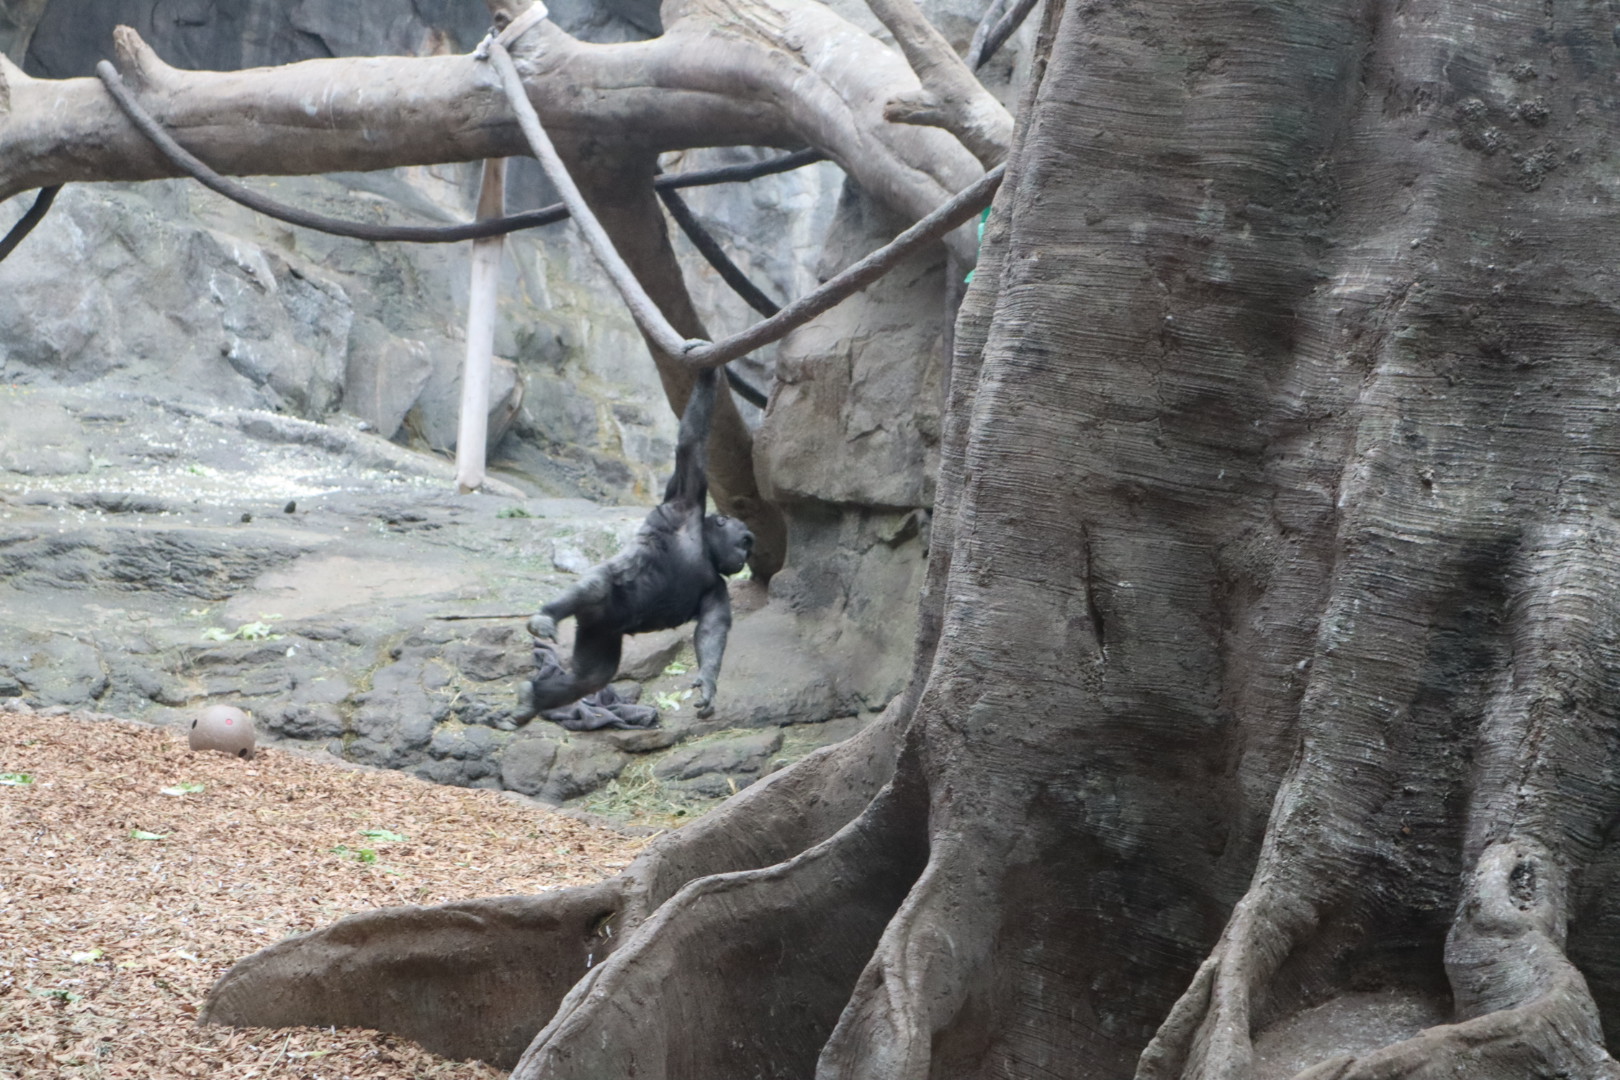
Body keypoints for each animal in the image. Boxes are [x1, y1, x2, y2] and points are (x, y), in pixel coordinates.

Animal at [512, 368, 754, 724]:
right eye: (746, 541)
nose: (747, 555)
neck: (705, 548)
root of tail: (593, 619)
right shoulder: (685, 501)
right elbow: (691, 443)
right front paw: (708, 373)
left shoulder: (717, 587)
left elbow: (712, 630)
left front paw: (708, 685)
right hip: (600, 608)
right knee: (596, 586)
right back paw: (546, 618)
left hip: (599, 632)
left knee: (591, 677)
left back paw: (533, 699)